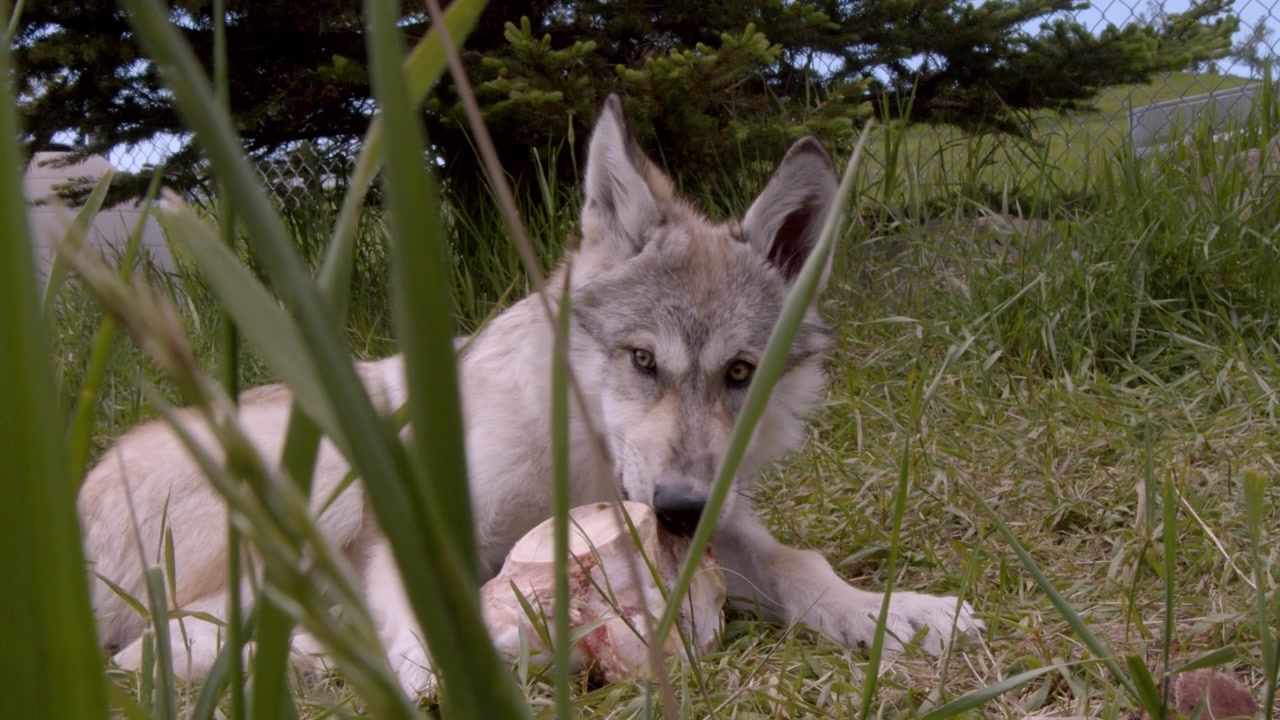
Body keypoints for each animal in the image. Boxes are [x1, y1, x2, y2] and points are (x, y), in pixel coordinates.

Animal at [78, 95, 983, 698]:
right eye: (643, 360)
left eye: (738, 373)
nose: (681, 510)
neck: (577, 463)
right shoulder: (407, 527)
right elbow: (423, 631)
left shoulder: (723, 528)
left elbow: (804, 567)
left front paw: (899, 612)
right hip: (325, 462)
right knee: (155, 643)